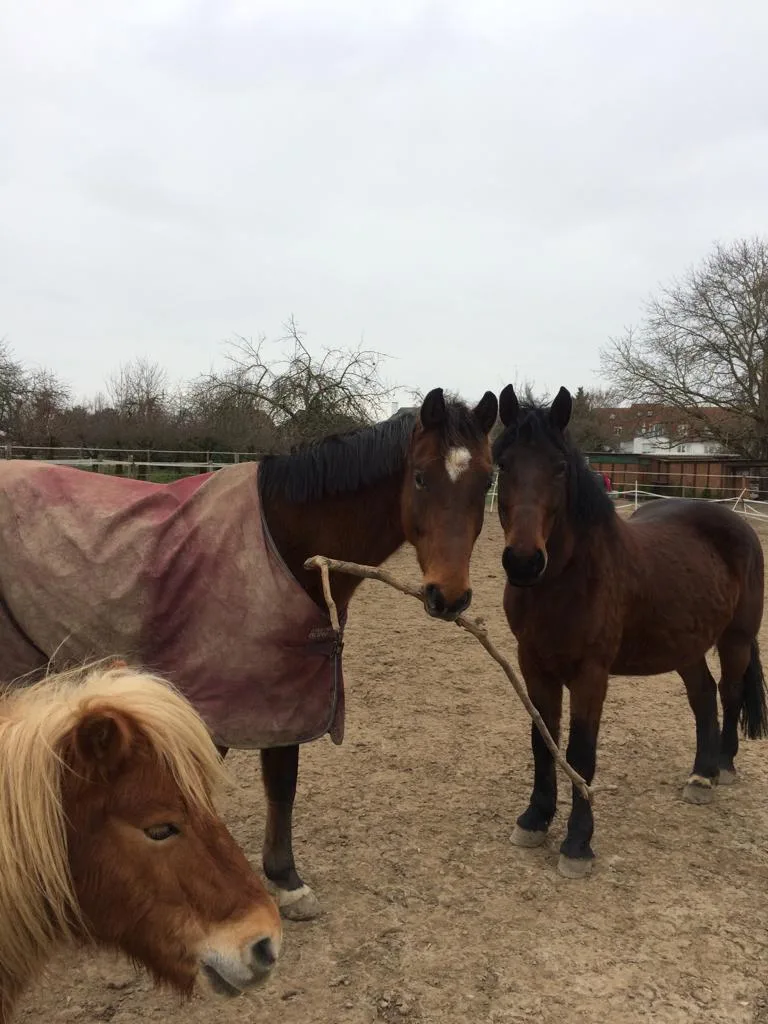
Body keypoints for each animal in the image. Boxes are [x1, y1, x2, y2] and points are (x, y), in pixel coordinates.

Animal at [0, 386, 498, 921]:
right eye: (421, 477)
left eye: (487, 480)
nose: (449, 597)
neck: (283, 542)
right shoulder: (225, 698)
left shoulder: (285, 693)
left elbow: (281, 781)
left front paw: (284, 879)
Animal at [492, 384, 768, 879]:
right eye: (504, 464)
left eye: (560, 467)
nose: (523, 562)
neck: (566, 579)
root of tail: (737, 524)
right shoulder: (533, 665)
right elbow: (542, 742)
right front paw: (535, 819)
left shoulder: (591, 674)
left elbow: (581, 753)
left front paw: (578, 843)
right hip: (685, 645)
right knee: (703, 695)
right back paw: (701, 774)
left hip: (735, 639)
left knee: (731, 692)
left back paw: (722, 766)